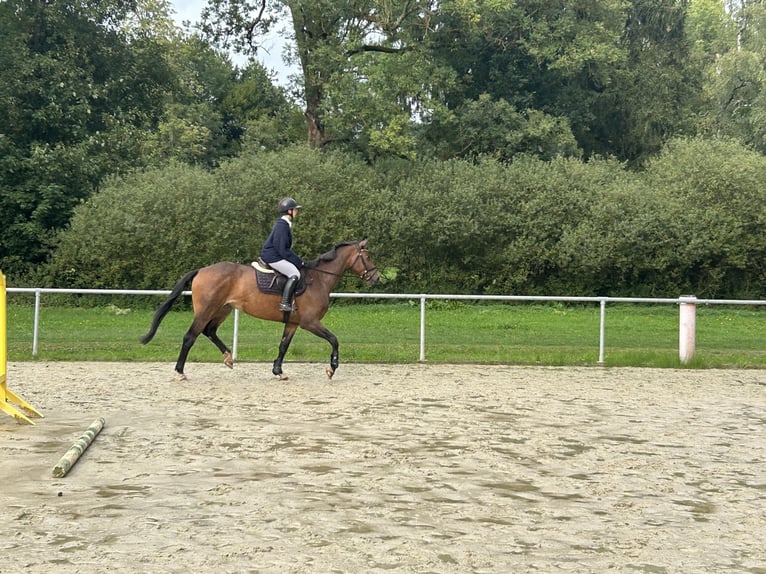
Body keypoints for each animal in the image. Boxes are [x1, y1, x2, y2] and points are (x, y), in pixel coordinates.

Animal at [140, 239, 380, 381]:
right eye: (368, 257)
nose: (377, 278)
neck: (319, 279)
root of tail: (201, 270)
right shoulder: (310, 322)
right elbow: (334, 339)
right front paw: (332, 368)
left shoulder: (293, 323)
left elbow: (283, 346)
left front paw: (278, 371)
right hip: (206, 310)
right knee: (191, 336)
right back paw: (180, 372)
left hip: (222, 310)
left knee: (210, 331)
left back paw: (228, 358)